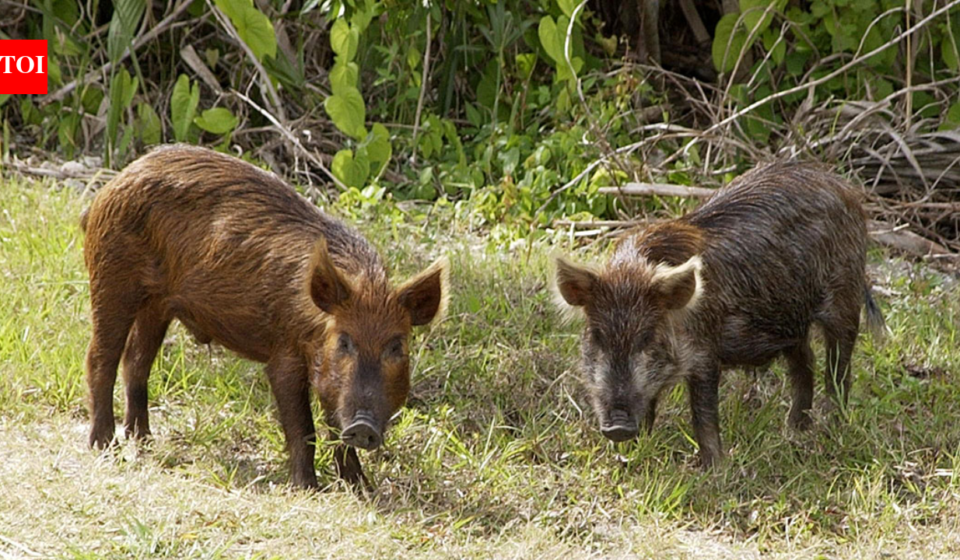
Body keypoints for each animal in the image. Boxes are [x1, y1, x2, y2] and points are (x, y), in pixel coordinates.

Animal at [81, 145, 448, 489]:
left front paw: (362, 489)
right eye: (344, 341)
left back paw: (143, 439)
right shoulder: (284, 355)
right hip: (112, 277)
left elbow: (334, 427)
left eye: (397, 347)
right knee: (100, 357)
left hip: (157, 304)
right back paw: (105, 446)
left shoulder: (329, 377)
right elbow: (303, 426)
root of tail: (111, 185)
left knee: (136, 361)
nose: (363, 426)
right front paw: (307, 488)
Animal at [553, 161, 884, 467]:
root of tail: (845, 188)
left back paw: (832, 427)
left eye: (647, 337)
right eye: (597, 336)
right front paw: (630, 455)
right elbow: (649, 406)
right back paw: (795, 430)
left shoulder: (704, 355)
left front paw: (714, 469)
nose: (618, 427)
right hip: (791, 322)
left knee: (838, 369)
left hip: (844, 299)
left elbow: (703, 414)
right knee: (805, 363)